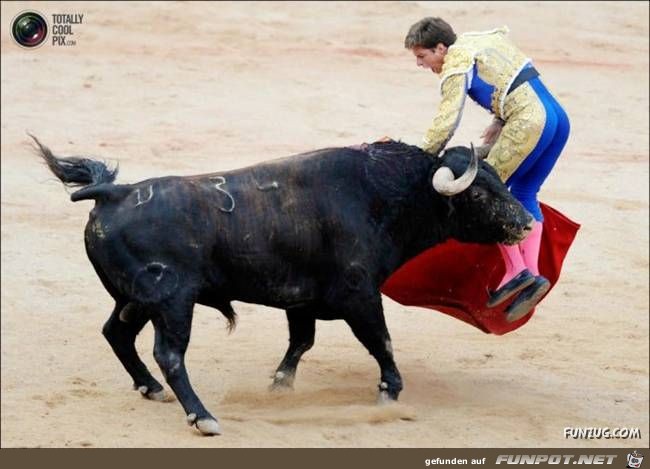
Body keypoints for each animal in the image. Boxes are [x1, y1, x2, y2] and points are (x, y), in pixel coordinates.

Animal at [34, 136, 532, 436]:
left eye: (500, 181)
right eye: (480, 192)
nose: (526, 222)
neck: (381, 195)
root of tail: (113, 193)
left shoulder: (300, 299)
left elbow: (302, 341)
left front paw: (279, 385)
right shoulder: (359, 295)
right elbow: (382, 341)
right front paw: (389, 392)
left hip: (133, 300)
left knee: (116, 333)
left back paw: (151, 388)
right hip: (171, 301)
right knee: (169, 354)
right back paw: (204, 417)